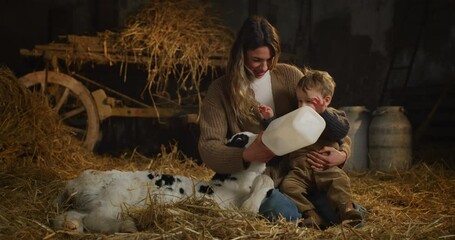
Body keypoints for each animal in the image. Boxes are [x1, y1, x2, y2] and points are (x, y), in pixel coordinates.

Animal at [53, 132, 274, 233]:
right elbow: (246, 209)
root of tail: (74, 183)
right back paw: (128, 226)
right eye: (240, 139)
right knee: (95, 219)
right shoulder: (221, 207)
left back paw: (72, 227)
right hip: (114, 196)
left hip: (88, 203)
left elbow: (266, 180)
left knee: (73, 216)